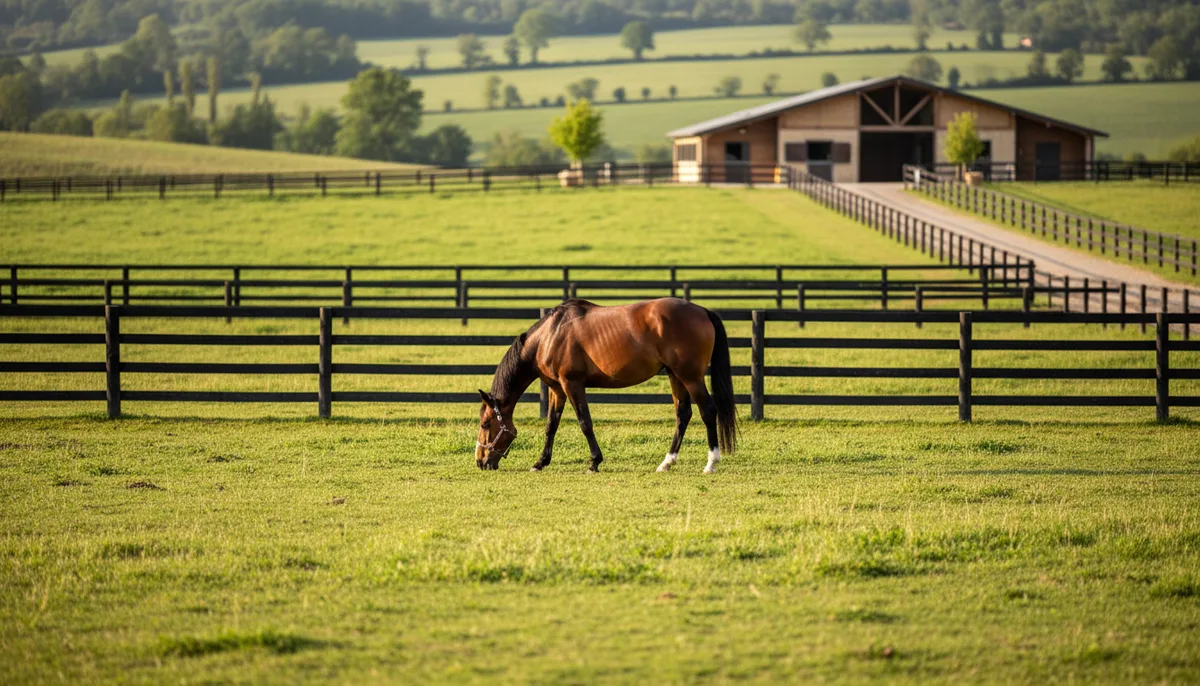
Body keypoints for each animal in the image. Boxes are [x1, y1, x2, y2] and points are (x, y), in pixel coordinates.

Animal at [475, 298, 738, 473]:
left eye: (486, 424)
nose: (480, 461)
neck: (549, 336)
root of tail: (702, 310)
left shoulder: (572, 384)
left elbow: (585, 423)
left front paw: (594, 462)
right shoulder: (557, 390)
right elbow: (551, 425)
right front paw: (540, 462)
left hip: (690, 376)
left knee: (708, 411)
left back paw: (711, 462)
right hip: (675, 375)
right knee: (683, 414)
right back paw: (667, 462)